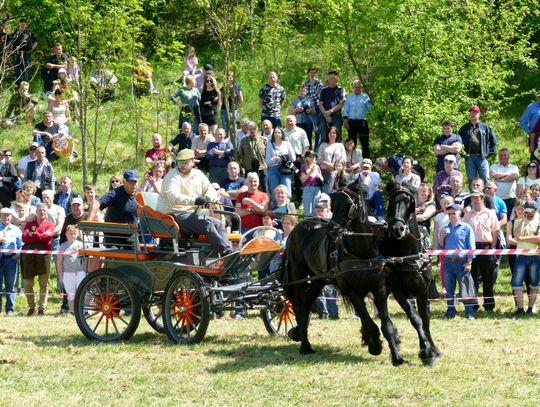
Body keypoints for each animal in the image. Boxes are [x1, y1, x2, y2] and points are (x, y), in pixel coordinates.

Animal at [284, 182, 402, 366]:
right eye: (333, 202)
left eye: (349, 204)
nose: (332, 231)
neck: (361, 254)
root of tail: (297, 228)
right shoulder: (352, 292)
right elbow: (369, 323)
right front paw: (374, 345)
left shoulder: (379, 289)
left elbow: (386, 325)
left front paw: (397, 357)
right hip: (298, 277)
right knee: (299, 307)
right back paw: (305, 346)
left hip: (318, 281)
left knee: (305, 305)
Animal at [382, 182, 440, 366]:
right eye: (391, 201)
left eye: (408, 201)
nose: (397, 228)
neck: (409, 255)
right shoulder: (399, 292)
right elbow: (415, 318)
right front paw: (426, 352)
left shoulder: (423, 291)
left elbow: (425, 319)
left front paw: (432, 348)